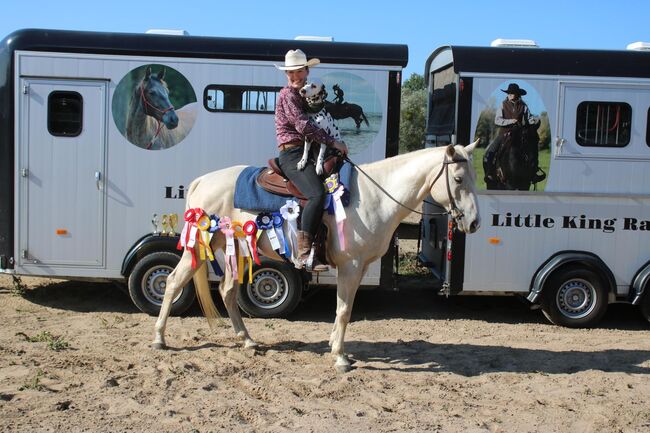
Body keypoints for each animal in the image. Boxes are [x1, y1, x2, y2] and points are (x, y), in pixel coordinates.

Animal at [149, 141, 478, 372]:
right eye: (458, 178)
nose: (474, 223)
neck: (375, 196)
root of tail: (201, 181)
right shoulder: (350, 266)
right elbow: (344, 310)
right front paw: (340, 357)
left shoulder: (358, 268)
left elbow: (344, 309)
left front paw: (335, 346)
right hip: (197, 247)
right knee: (173, 282)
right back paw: (159, 339)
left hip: (236, 249)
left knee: (227, 291)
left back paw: (248, 341)